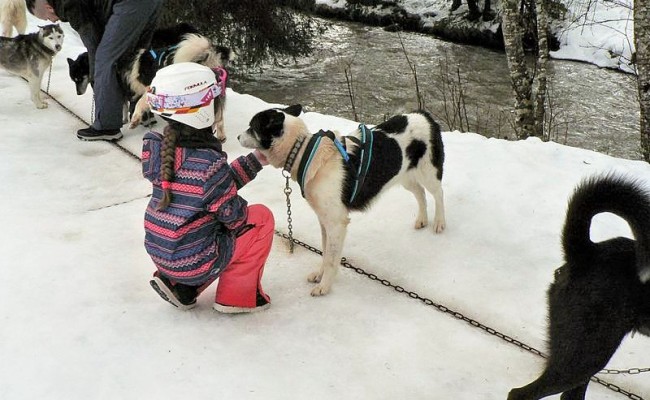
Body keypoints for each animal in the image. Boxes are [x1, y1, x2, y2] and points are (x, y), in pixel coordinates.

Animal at [238, 104, 446, 296]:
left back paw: (439, 222)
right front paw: (320, 274)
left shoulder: (336, 223)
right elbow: (325, 253)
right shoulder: (324, 221)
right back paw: (422, 219)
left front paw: (324, 286)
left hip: (428, 172)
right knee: (420, 193)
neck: (304, 151)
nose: (238, 137)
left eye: (252, 126)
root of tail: (423, 114)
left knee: (438, 194)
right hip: (405, 175)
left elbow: (331, 259)